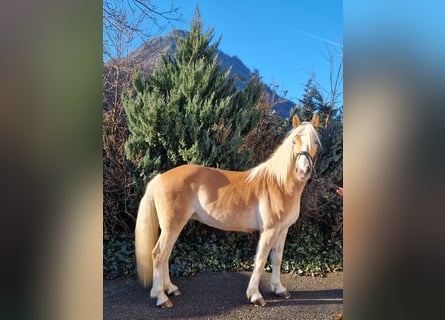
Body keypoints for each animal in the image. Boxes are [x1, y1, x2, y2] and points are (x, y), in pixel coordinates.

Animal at [135, 112, 320, 308]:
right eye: (294, 141)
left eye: (315, 142)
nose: (302, 171)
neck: (278, 184)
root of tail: (160, 177)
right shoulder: (269, 230)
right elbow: (261, 260)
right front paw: (255, 295)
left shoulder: (283, 229)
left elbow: (276, 258)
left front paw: (279, 289)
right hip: (172, 226)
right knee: (158, 254)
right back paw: (161, 296)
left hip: (174, 227)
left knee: (165, 255)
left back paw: (170, 288)